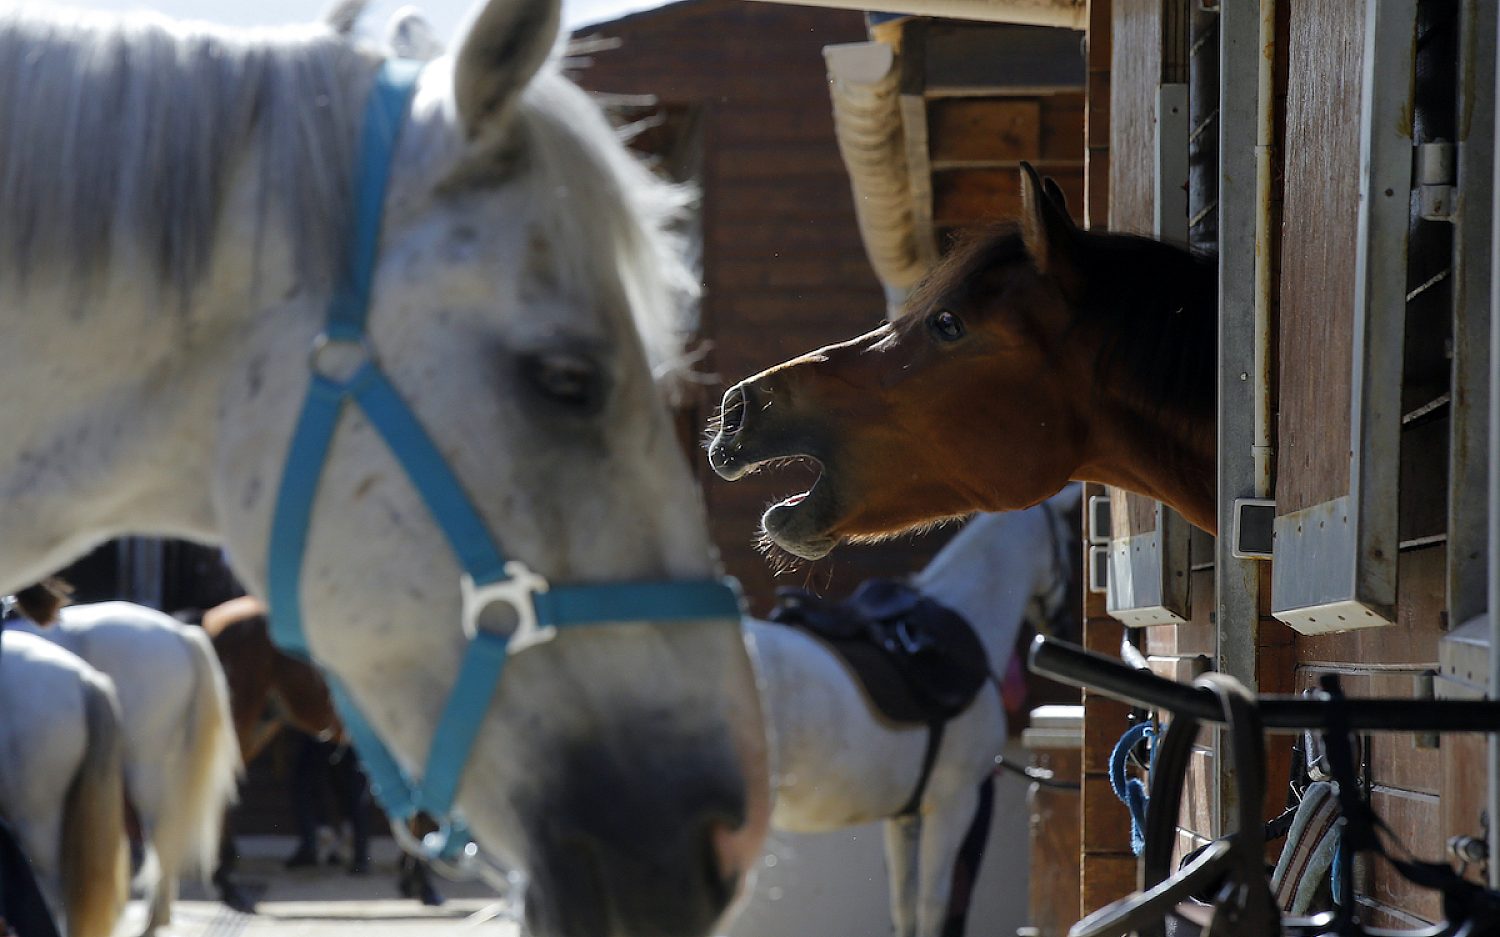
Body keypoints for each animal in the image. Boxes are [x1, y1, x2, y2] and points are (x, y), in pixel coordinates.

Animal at [751, 485, 1077, 937]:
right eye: (1071, 540)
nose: (1066, 628)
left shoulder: (904, 818)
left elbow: (904, 908)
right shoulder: (954, 804)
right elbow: (933, 905)